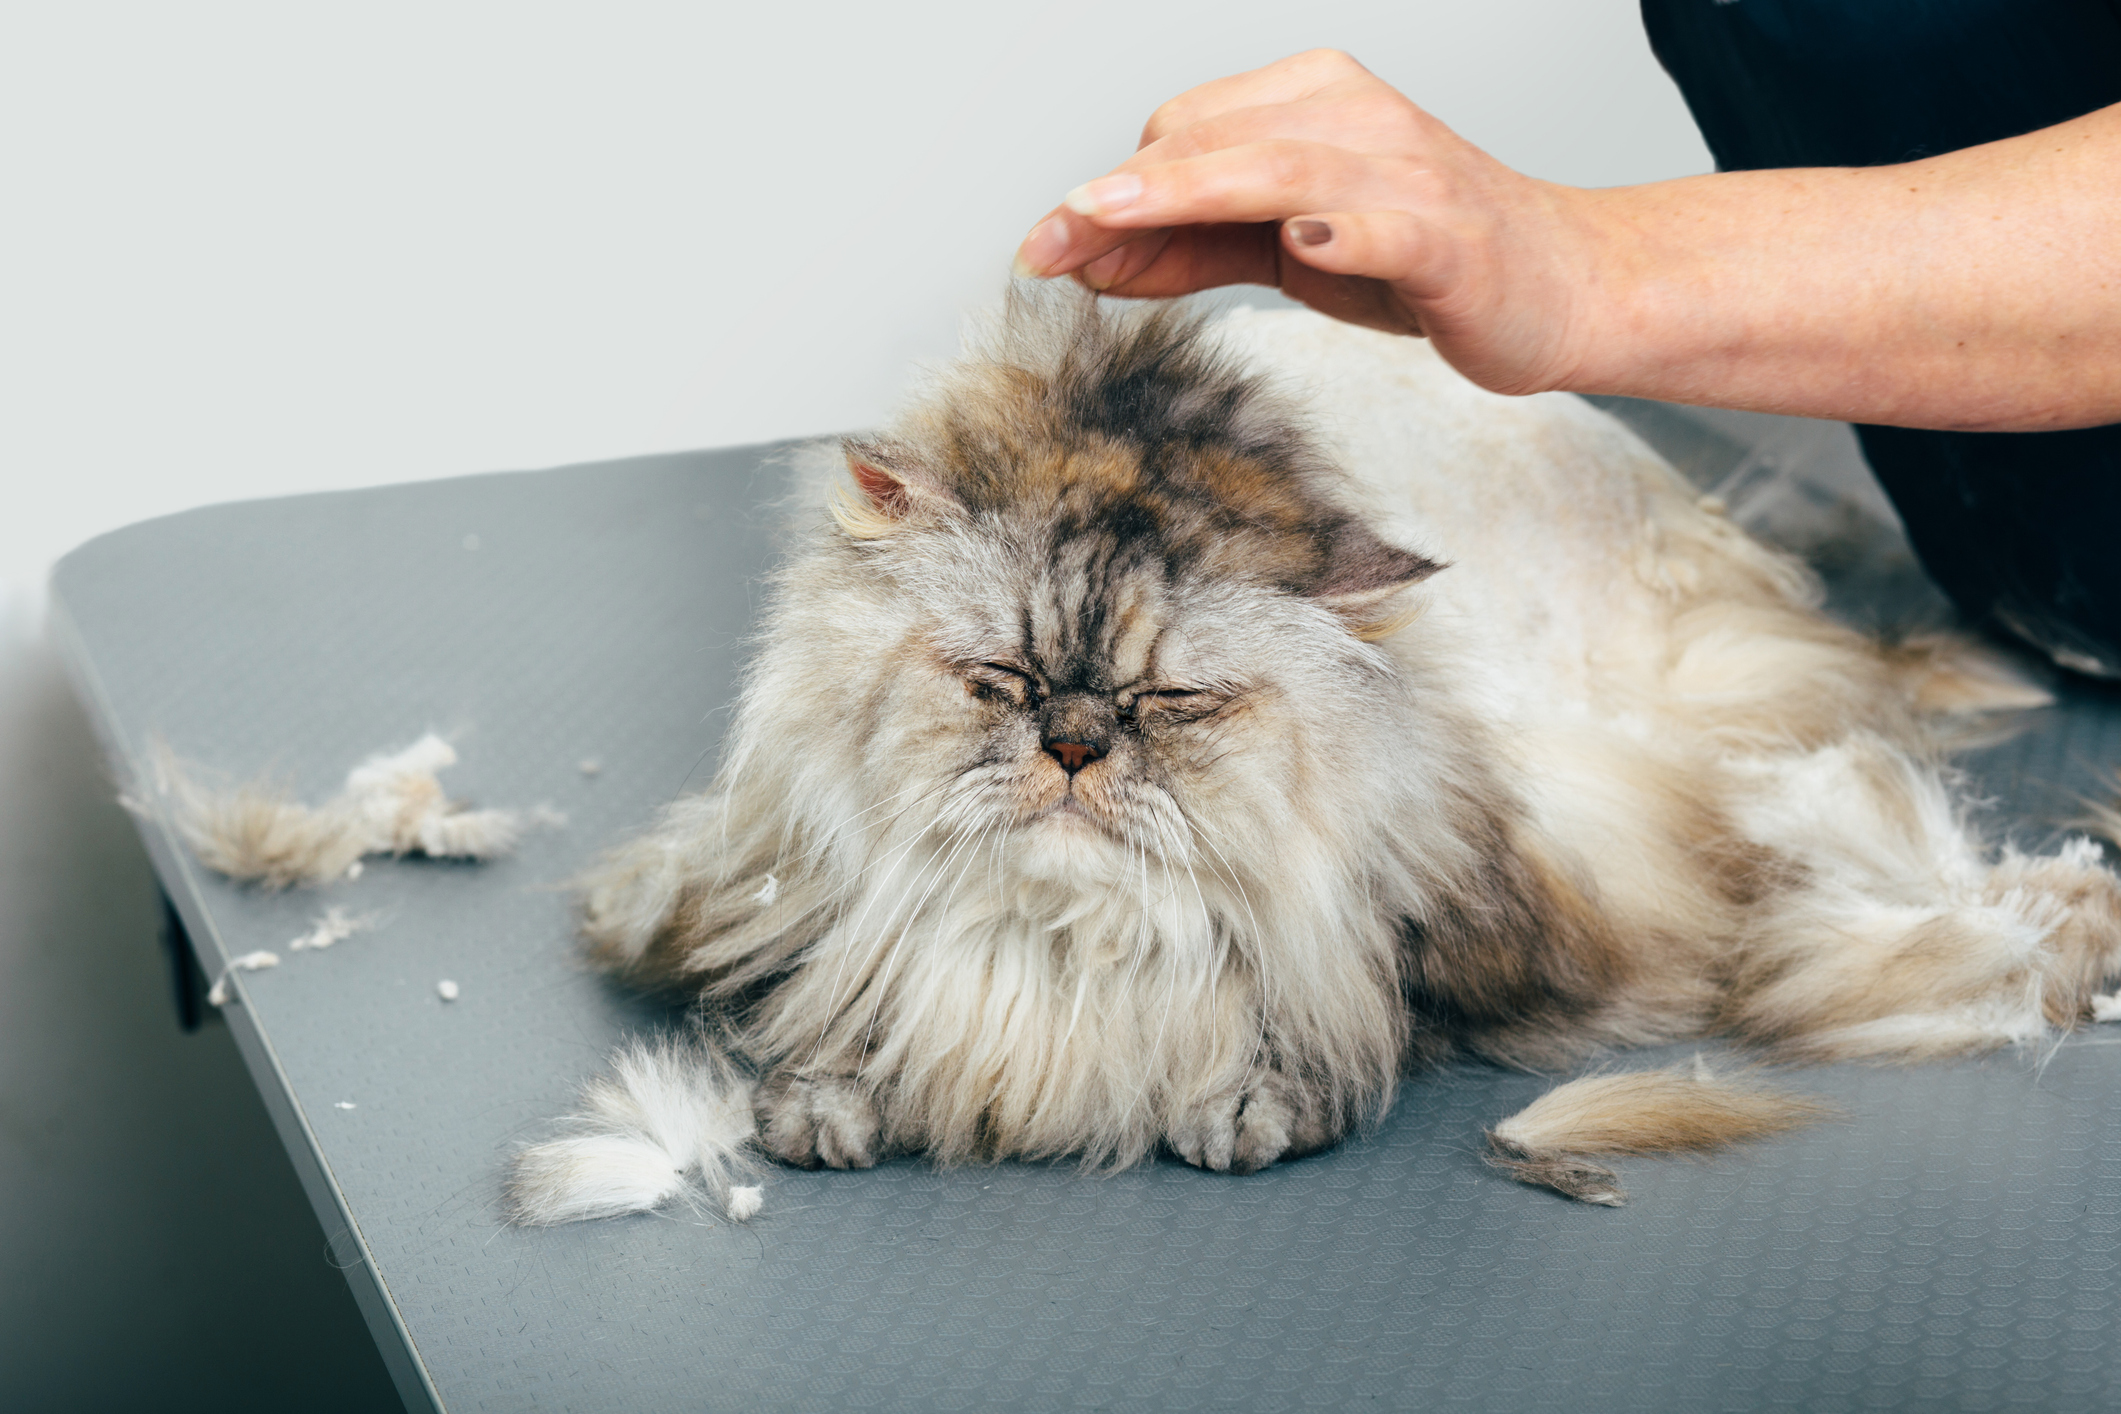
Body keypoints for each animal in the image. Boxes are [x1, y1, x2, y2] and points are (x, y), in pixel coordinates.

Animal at [509, 281, 2121, 1221]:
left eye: (1167, 702)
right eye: (1004, 680)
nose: (1075, 743)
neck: (1063, 957)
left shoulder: (1503, 874)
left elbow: (1334, 1007)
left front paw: (1245, 1100)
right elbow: (833, 995)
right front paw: (831, 1093)